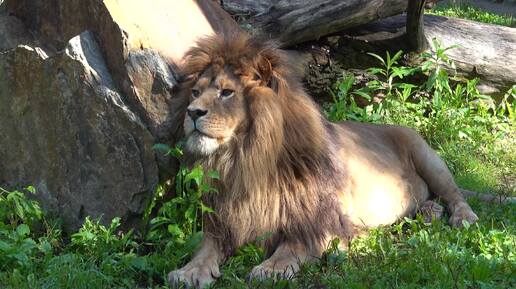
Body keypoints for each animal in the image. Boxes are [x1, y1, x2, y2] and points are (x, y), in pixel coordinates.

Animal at [169, 33, 480, 286]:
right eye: (195, 92)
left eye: (226, 92)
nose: (192, 112)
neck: (247, 162)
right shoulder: (223, 222)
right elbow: (205, 249)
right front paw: (188, 272)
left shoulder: (326, 219)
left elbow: (296, 245)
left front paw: (272, 268)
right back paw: (429, 211)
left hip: (426, 154)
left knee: (454, 194)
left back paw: (462, 217)